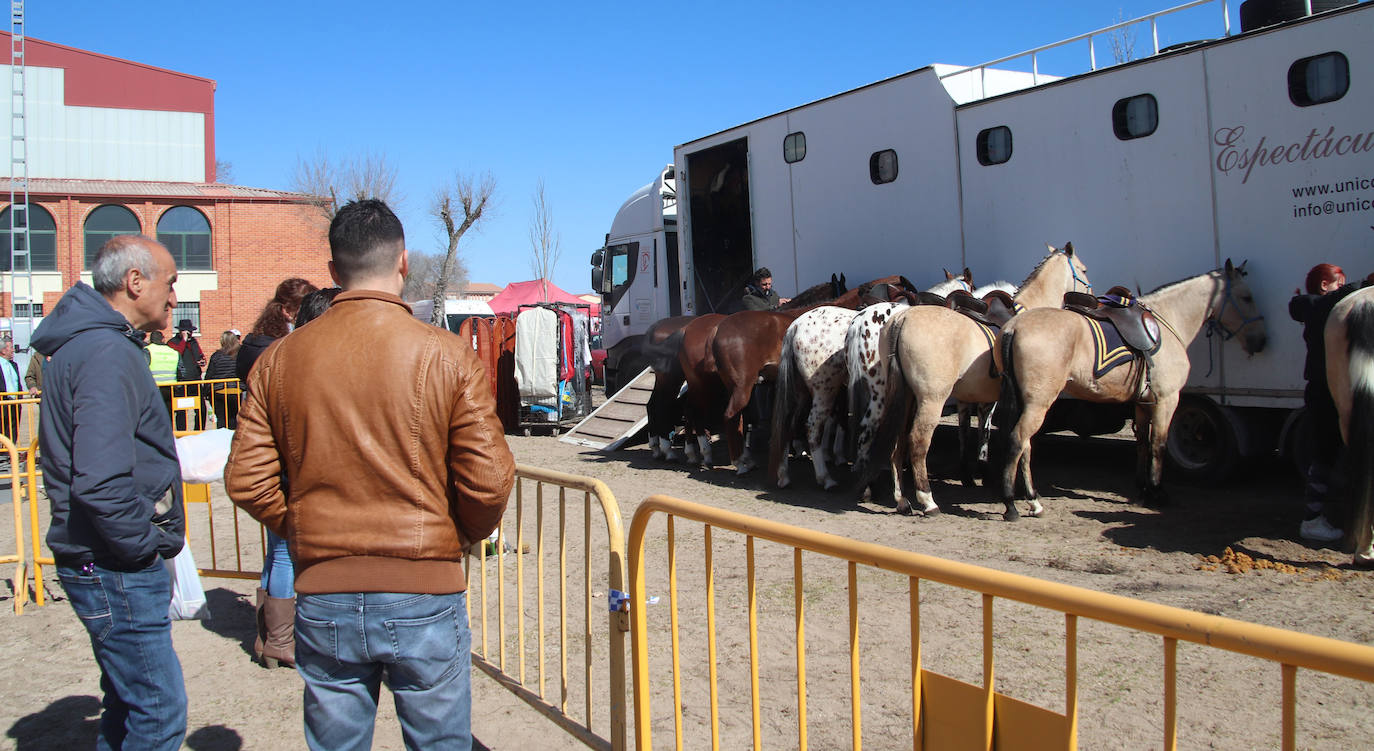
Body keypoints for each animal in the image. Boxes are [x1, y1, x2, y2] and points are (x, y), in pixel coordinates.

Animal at [769, 273, 983, 491]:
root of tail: (795, 326)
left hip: (803, 391)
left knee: (788, 423)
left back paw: (784, 474)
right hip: (824, 390)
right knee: (812, 426)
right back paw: (826, 477)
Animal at [989, 262, 1264, 518]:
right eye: (1247, 297)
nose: (1259, 341)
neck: (1167, 320)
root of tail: (1014, 327)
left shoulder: (1142, 403)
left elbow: (1143, 443)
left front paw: (1142, 490)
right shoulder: (1167, 399)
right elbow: (1159, 445)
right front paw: (1157, 493)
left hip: (1027, 403)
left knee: (1026, 445)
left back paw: (1033, 500)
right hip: (1038, 403)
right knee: (1017, 441)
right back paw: (1011, 505)